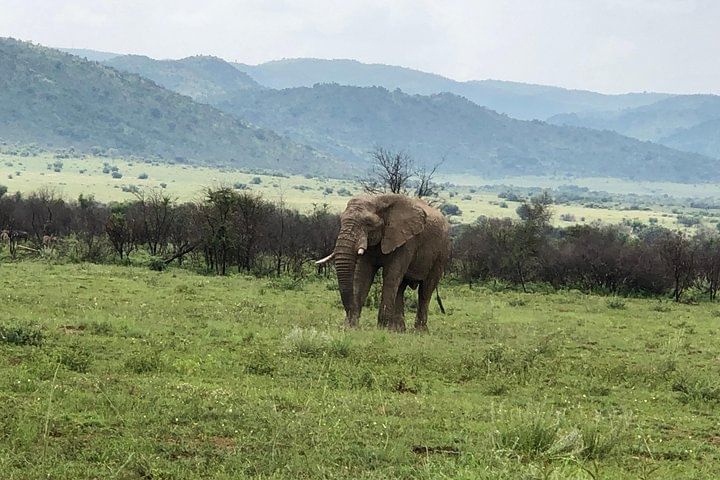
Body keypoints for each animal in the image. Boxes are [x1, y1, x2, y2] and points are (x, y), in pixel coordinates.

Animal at [316, 194, 450, 332]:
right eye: (341, 221)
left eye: (368, 223)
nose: (347, 321)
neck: (379, 200)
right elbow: (363, 275)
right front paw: (351, 327)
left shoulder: (406, 241)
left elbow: (390, 275)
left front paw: (382, 329)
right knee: (401, 288)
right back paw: (398, 330)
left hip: (441, 253)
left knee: (425, 290)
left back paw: (419, 331)